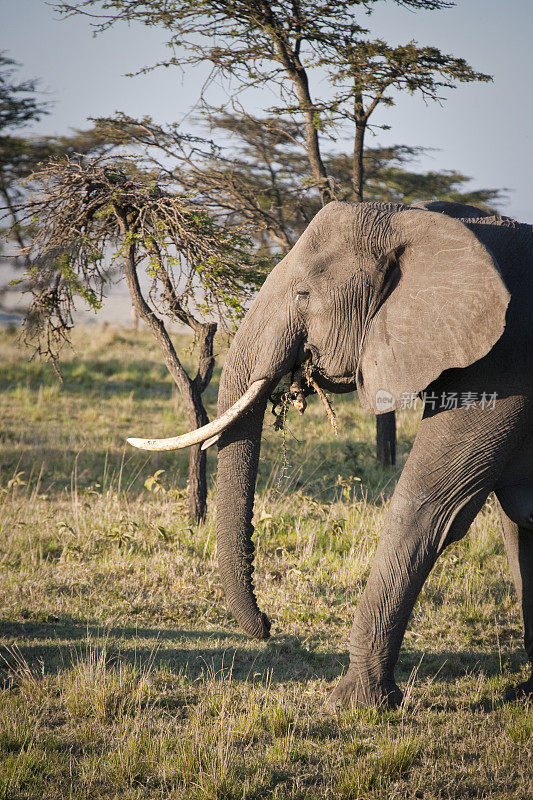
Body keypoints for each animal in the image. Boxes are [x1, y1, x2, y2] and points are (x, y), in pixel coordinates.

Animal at [128, 200, 532, 708]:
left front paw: (356, 703)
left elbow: (429, 507)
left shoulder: (504, 364)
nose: (268, 626)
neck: (423, 222)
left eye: (303, 294)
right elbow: (516, 524)